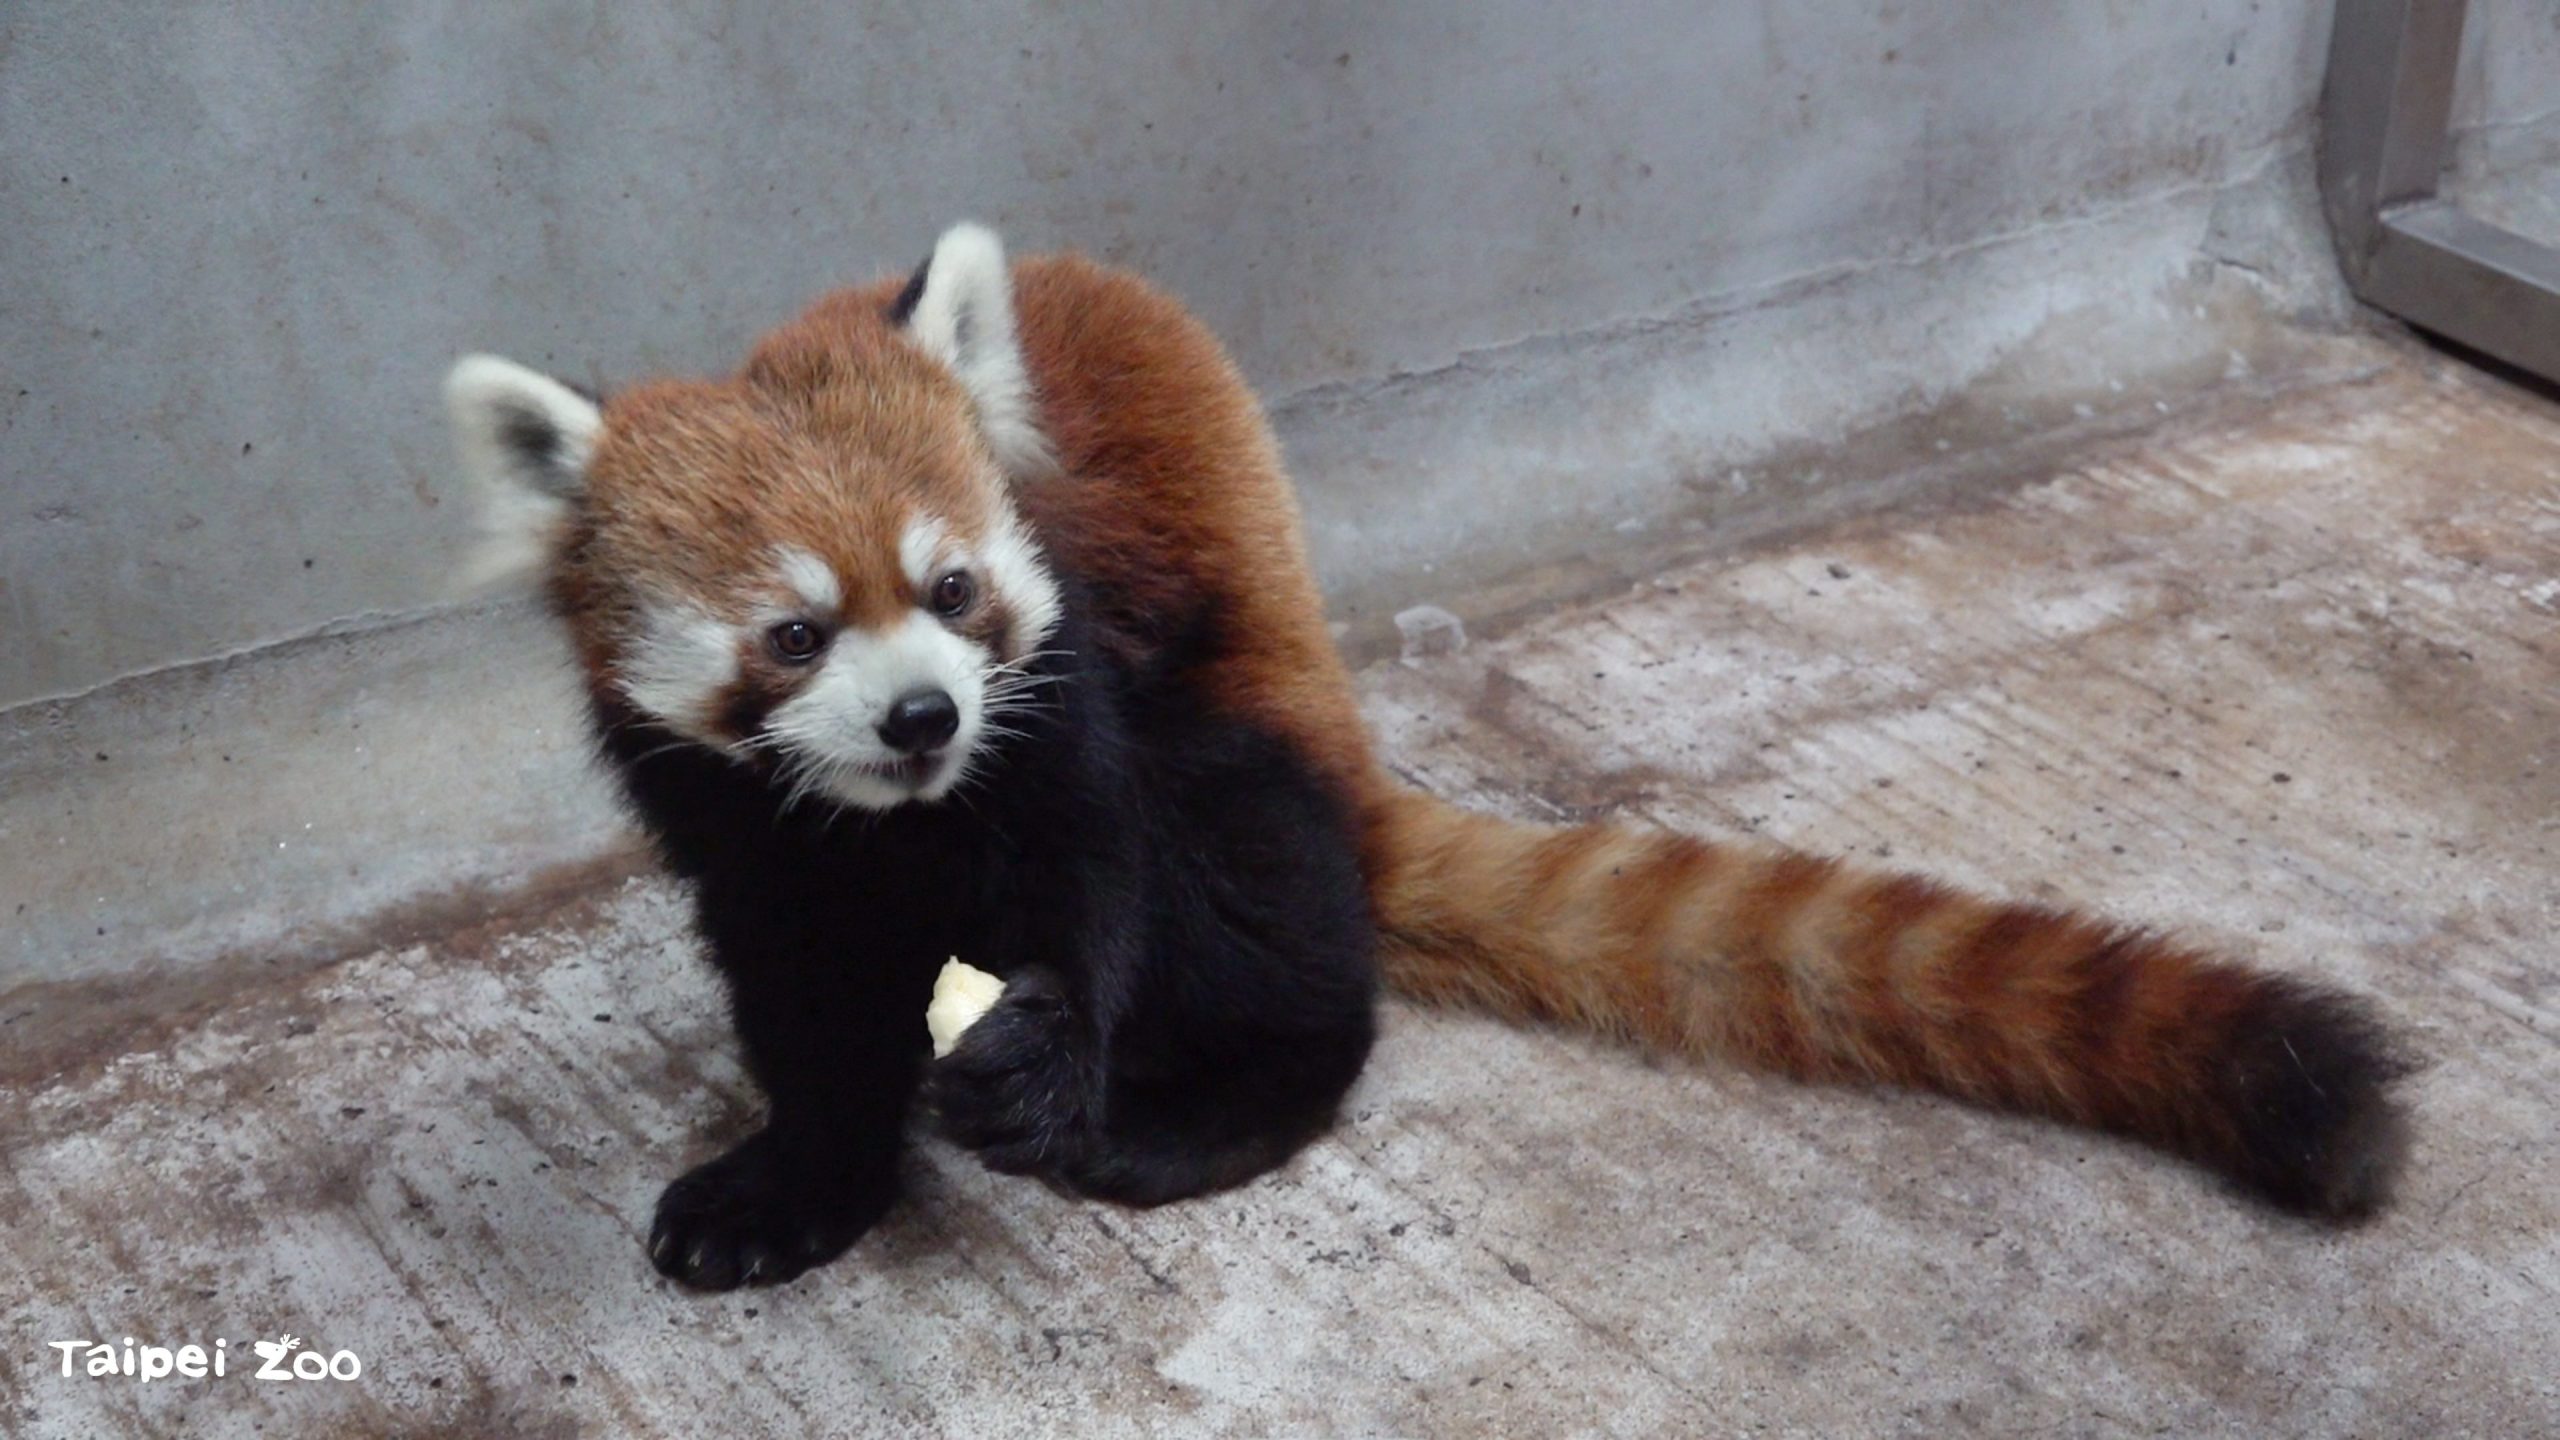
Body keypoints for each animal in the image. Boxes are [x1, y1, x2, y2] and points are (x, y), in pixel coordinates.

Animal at [445, 226, 2416, 1291]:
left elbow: (1099, 865)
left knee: (1255, 875)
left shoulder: (1069, 679)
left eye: (950, 589)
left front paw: (1053, 1054)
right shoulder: (742, 828)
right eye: (794, 634)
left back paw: (1210, 1109)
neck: (897, 823)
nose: (925, 715)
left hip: (1255, 718)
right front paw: (802, 1180)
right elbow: (805, 999)